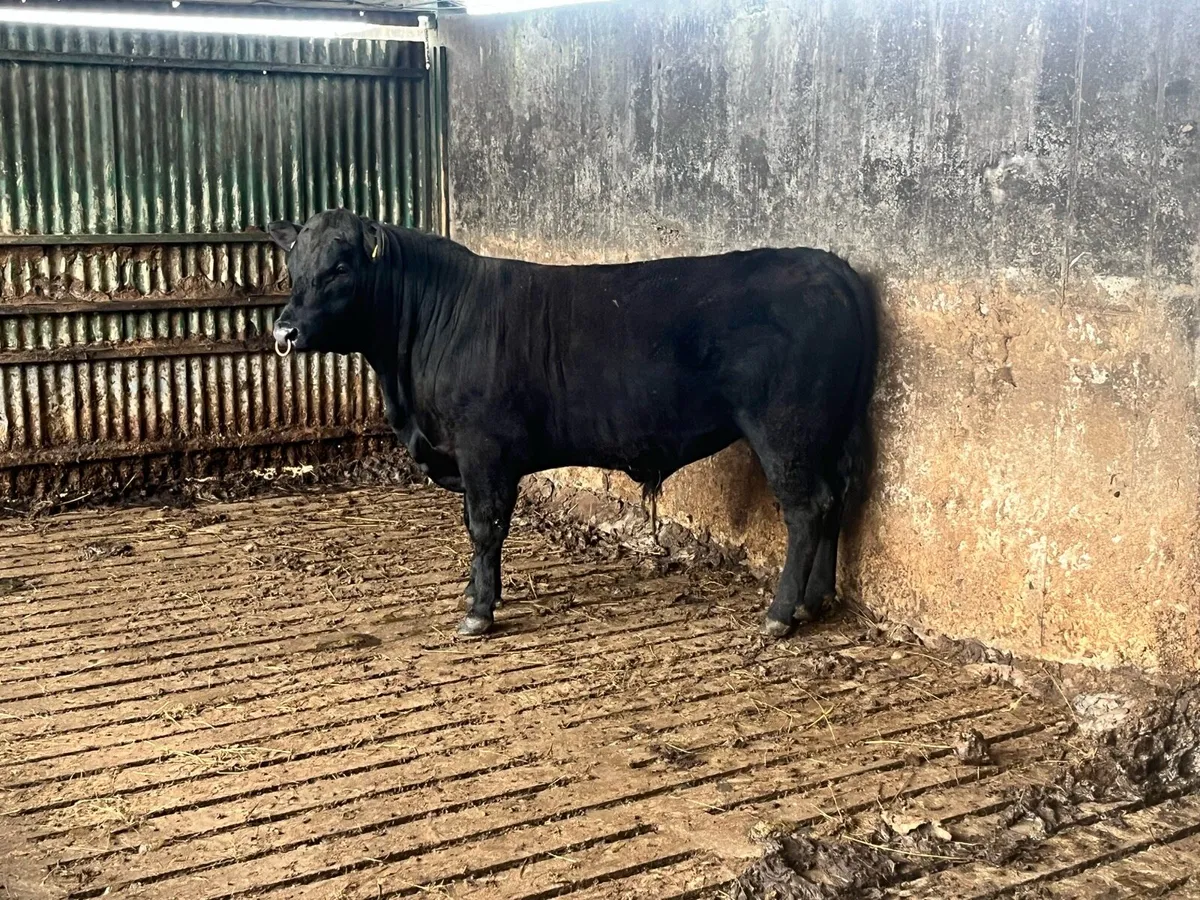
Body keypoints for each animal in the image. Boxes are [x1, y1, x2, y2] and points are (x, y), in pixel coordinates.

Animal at [268, 210, 877, 639]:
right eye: (293, 267)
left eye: (341, 267)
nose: (284, 331)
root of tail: (829, 265)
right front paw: (479, 595)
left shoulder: (483, 450)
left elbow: (484, 527)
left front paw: (479, 612)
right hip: (829, 432)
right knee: (836, 498)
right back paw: (815, 599)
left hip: (787, 432)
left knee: (807, 509)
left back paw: (780, 613)